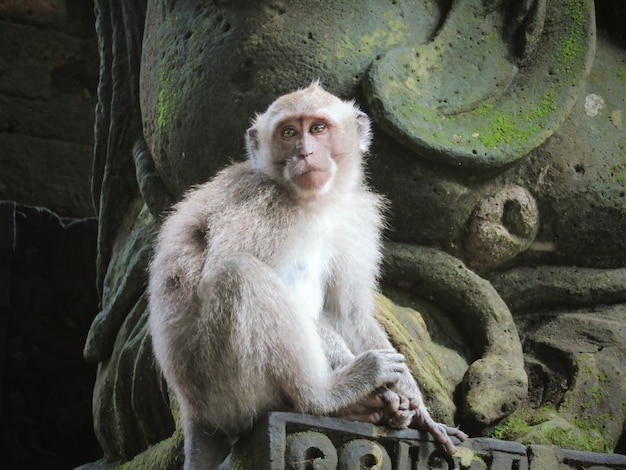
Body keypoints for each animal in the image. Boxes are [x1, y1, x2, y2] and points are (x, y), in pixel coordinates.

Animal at [149, 82, 466, 468]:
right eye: (288, 133)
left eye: (317, 128)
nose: (304, 152)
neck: (312, 203)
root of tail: (193, 412)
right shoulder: (260, 203)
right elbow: (217, 276)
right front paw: (371, 378)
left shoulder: (353, 215)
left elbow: (349, 313)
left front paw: (421, 411)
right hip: (220, 389)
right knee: (241, 273)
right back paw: (324, 395)